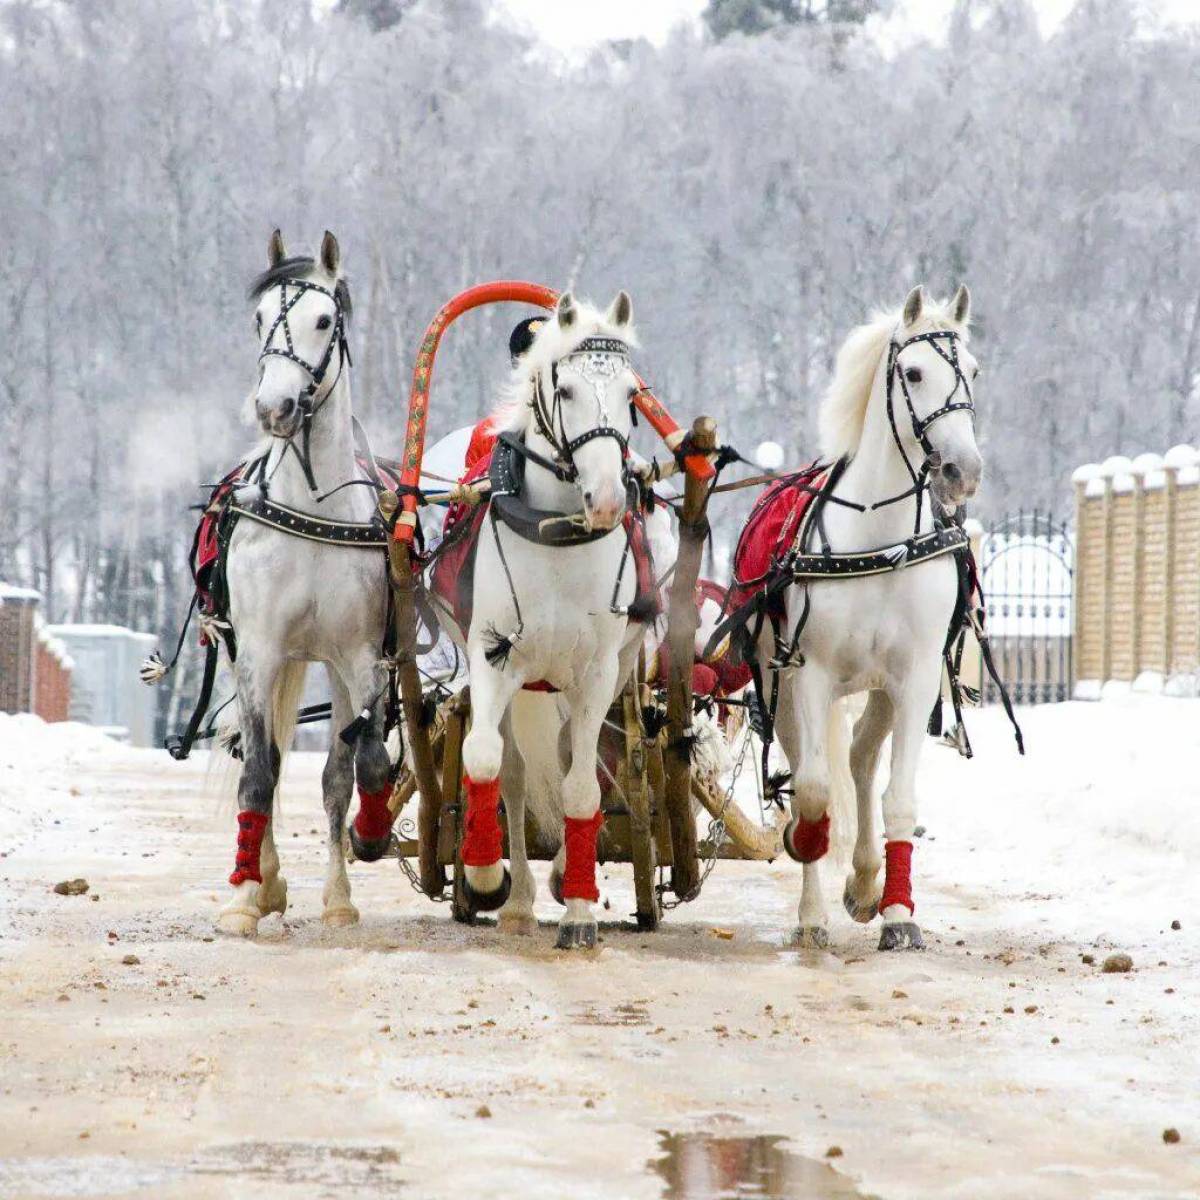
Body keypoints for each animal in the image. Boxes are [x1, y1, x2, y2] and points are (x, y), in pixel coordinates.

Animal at [218, 229, 396, 931]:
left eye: (324, 320)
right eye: (259, 318)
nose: (274, 407)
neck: (313, 509)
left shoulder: (359, 657)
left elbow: (356, 769)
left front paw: (351, 875)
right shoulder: (260, 652)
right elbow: (259, 773)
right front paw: (245, 898)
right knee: (261, 756)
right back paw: (262, 880)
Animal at [439, 290, 667, 945]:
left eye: (631, 395)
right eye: (563, 391)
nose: (610, 498)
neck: (557, 534)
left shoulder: (596, 672)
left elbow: (583, 787)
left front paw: (581, 910)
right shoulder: (493, 656)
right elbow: (484, 759)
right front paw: (485, 875)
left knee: (571, 760)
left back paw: (566, 877)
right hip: (517, 681)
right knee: (512, 773)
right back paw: (514, 899)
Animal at [763, 285, 979, 950]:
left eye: (974, 371)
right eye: (914, 373)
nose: (963, 470)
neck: (881, 546)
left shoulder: (914, 679)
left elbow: (899, 798)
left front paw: (898, 911)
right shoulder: (808, 672)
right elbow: (811, 792)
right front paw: (809, 880)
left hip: (879, 687)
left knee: (860, 759)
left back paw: (864, 881)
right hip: (784, 688)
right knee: (813, 771)